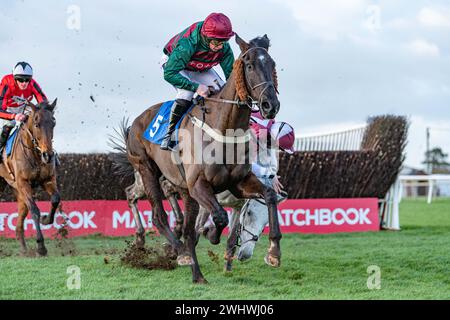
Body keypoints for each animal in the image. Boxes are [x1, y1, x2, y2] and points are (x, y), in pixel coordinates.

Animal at [0, 100, 60, 258]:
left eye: (53, 123)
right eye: (37, 124)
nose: (48, 155)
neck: (35, 154)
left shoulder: (47, 179)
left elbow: (55, 199)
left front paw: (46, 219)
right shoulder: (23, 183)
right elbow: (34, 210)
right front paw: (41, 246)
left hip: (18, 192)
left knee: (20, 220)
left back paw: (24, 249)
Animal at [119, 33, 282, 282]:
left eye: (272, 64)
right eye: (250, 65)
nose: (270, 105)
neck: (224, 128)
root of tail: (136, 122)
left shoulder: (238, 183)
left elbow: (269, 196)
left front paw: (273, 252)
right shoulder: (199, 185)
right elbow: (219, 217)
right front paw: (211, 233)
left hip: (184, 191)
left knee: (185, 227)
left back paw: (197, 275)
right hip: (146, 170)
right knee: (157, 215)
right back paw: (179, 252)